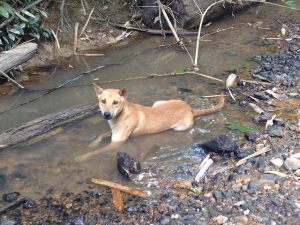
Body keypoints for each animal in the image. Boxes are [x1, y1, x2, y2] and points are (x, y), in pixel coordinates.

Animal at [75, 83, 224, 161]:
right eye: (103, 101)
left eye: (115, 102)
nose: (106, 114)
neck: (121, 113)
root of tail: (191, 109)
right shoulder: (113, 132)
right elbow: (100, 136)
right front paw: (91, 144)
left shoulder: (116, 143)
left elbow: (97, 152)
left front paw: (82, 157)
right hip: (157, 103)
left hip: (180, 127)